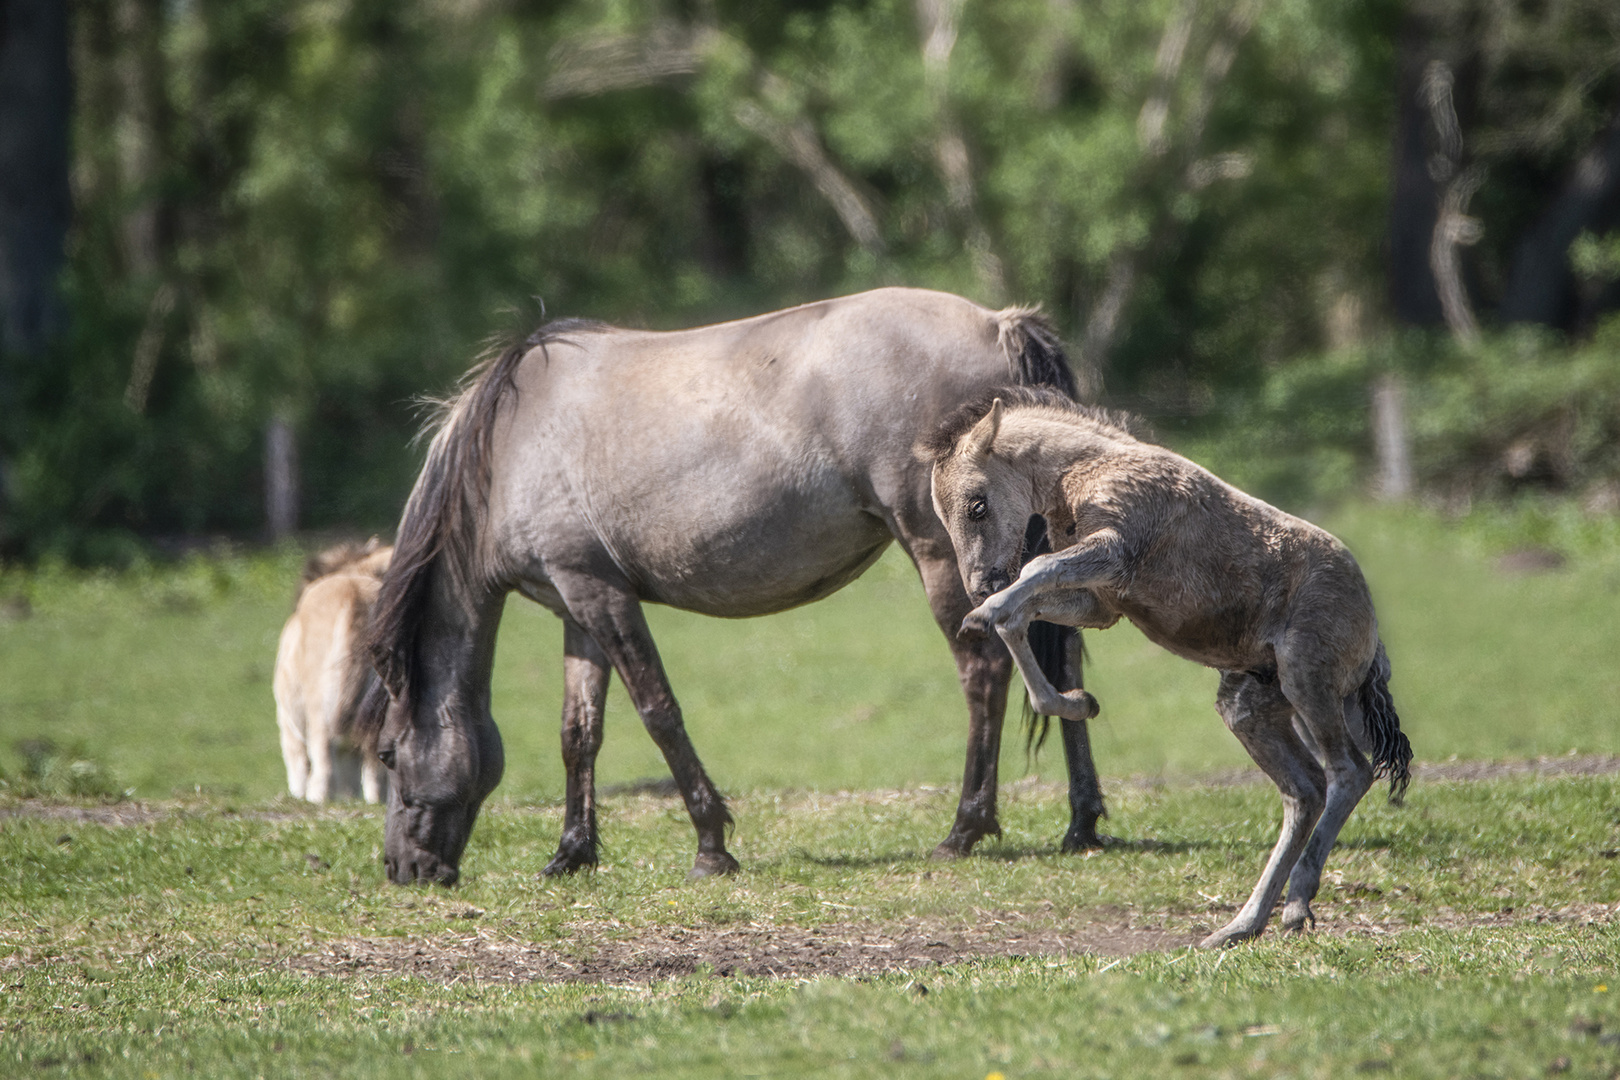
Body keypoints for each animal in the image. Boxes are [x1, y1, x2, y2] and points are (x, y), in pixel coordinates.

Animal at [275, 540, 392, 803]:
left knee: (323, 761)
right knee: (376, 771)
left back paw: (316, 797)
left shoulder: (287, 721)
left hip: (319, 707)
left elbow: (297, 762)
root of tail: (354, 593)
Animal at [359, 286, 1108, 887]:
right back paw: (1083, 825)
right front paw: (571, 853)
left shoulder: (601, 597)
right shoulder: (577, 602)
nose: (405, 870)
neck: (510, 445)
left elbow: (659, 712)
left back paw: (963, 829)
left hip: (943, 555)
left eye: (389, 754)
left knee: (984, 671)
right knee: (1064, 662)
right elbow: (579, 732)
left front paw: (710, 845)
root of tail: (999, 324)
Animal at [933, 388, 1412, 945]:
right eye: (942, 517)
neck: (1088, 468)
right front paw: (1075, 702)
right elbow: (1021, 613)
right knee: (1306, 790)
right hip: (1251, 705)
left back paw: (1291, 906)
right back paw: (1243, 923)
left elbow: (1033, 571)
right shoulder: (1101, 602)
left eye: (977, 505)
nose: (979, 586)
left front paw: (980, 617)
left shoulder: (1115, 551)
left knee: (1348, 772)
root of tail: (1374, 641)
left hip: (1307, 680)